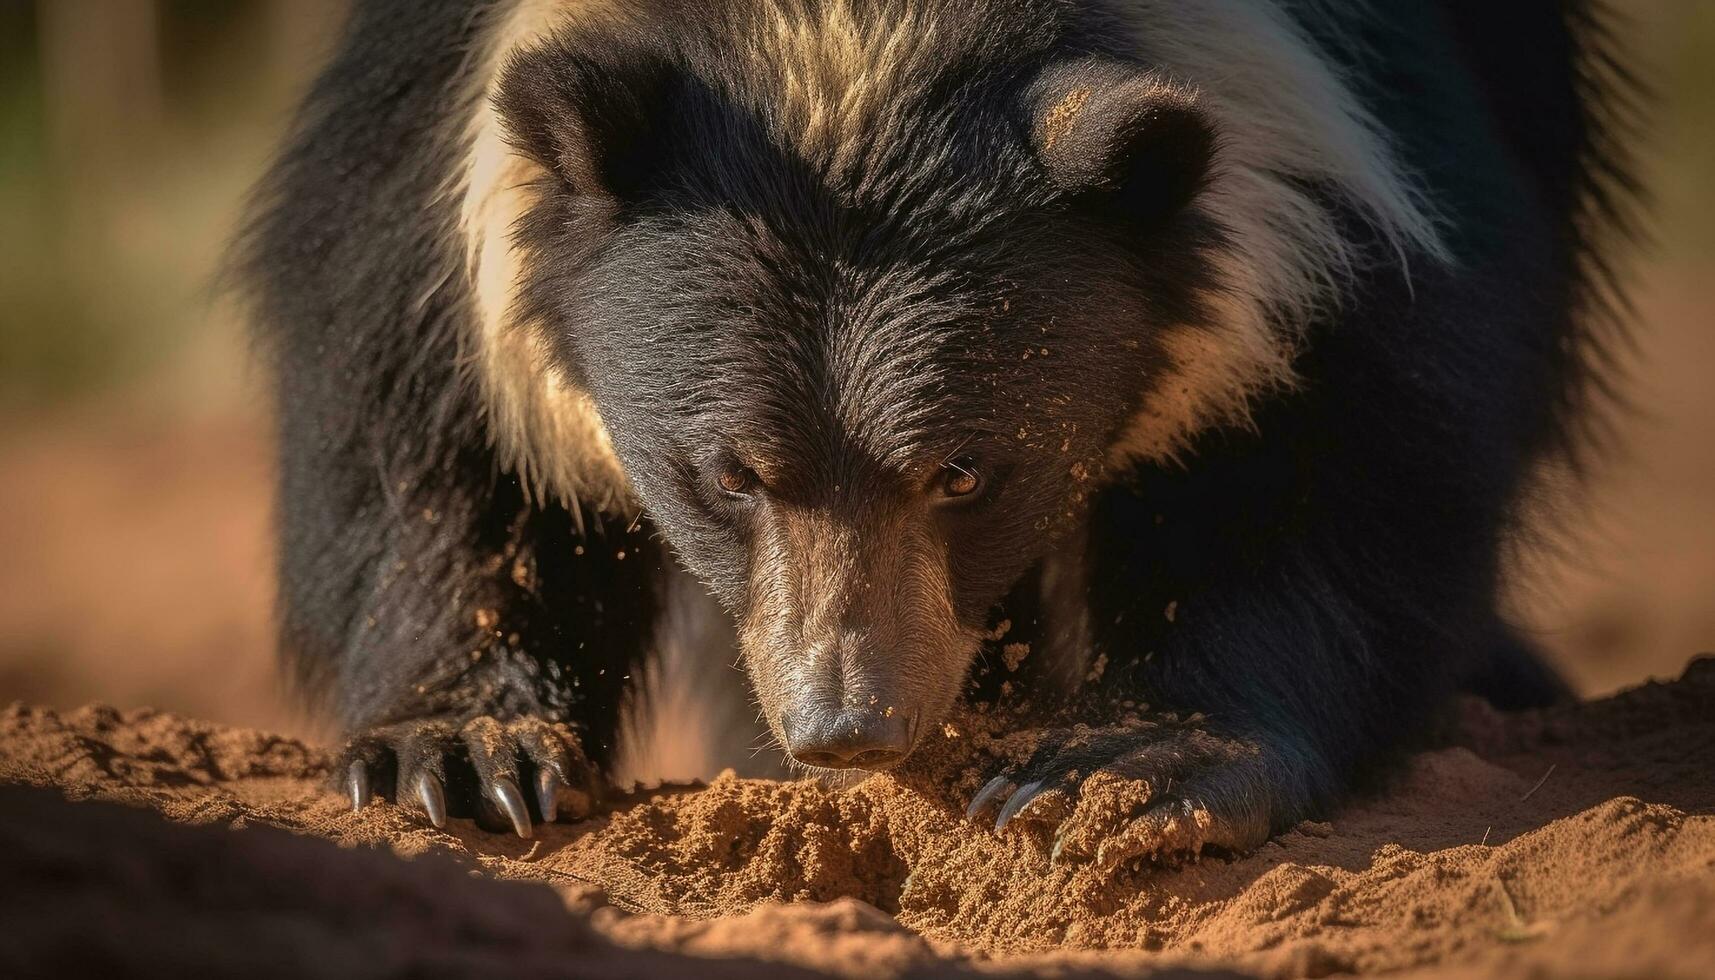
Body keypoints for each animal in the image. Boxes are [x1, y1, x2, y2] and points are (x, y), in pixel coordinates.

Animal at [238, 0, 1632, 858]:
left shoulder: (1364, 132)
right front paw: (462, 757)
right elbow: (421, 409)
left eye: (965, 471)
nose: (850, 726)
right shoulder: (426, 119)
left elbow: (1348, 442)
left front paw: (1117, 766)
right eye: (729, 475)